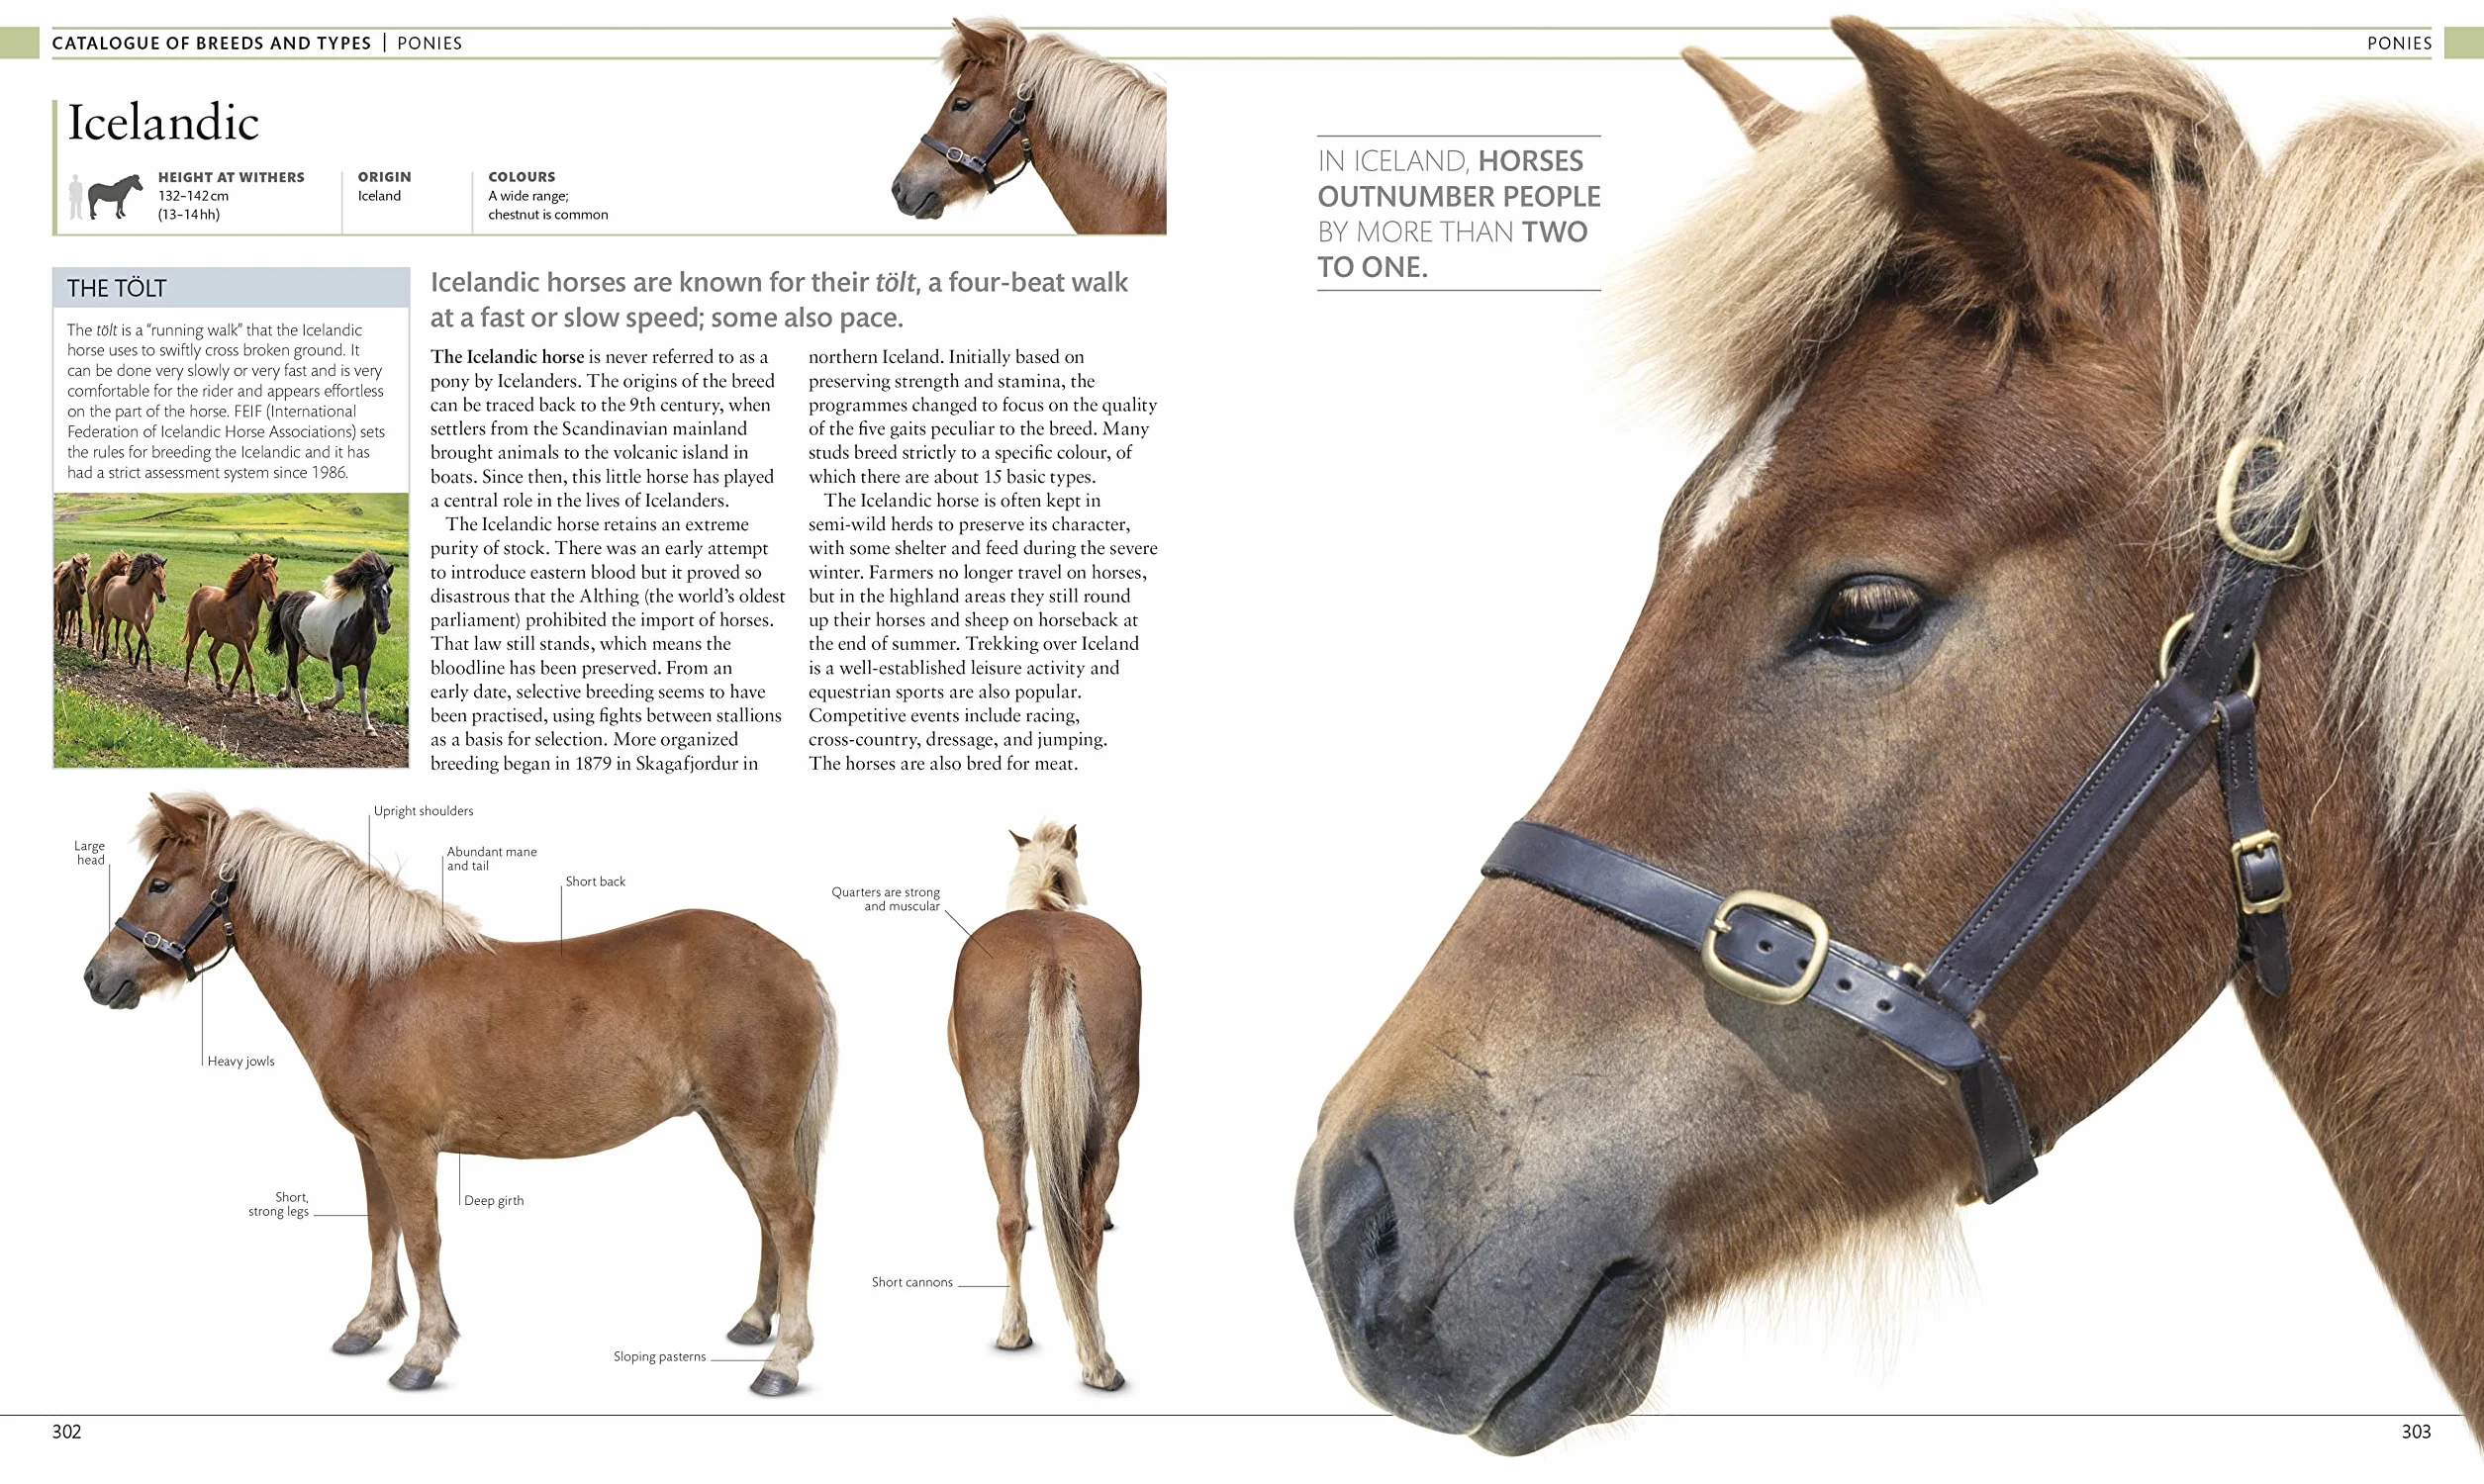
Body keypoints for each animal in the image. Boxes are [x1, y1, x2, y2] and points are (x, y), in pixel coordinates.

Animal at [82, 793, 837, 1396]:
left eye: (159, 883)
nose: (97, 977)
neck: (367, 988)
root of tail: (796, 961)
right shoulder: (371, 1143)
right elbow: (380, 1228)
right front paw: (367, 1326)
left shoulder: (407, 1145)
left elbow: (422, 1239)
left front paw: (423, 1354)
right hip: (729, 1127)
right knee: (767, 1218)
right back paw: (753, 1323)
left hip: (756, 1128)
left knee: (792, 1220)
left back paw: (782, 1362)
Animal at [181, 552, 280, 701]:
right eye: (264, 577)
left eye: (277, 578)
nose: (273, 603)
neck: (245, 608)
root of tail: (199, 591)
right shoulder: (240, 641)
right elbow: (249, 666)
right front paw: (254, 695)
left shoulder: (248, 644)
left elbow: (240, 666)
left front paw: (231, 690)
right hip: (195, 630)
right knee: (190, 653)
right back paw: (187, 682)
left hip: (219, 638)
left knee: (212, 653)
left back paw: (219, 683)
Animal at [266, 551, 395, 735]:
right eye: (373, 590)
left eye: (389, 590)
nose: (384, 625)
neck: (353, 626)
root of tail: (291, 596)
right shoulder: (336, 661)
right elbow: (341, 692)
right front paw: (323, 705)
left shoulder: (365, 663)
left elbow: (363, 694)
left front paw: (368, 728)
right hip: (292, 644)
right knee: (294, 674)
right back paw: (304, 711)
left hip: (304, 649)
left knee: (291, 668)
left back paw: (284, 694)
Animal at [950, 823, 1139, 1390]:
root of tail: (1052, 961)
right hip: (1107, 1128)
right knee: (1084, 1228)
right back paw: (1097, 1358)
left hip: (997, 1126)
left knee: (1011, 1219)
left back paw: (1015, 1330)